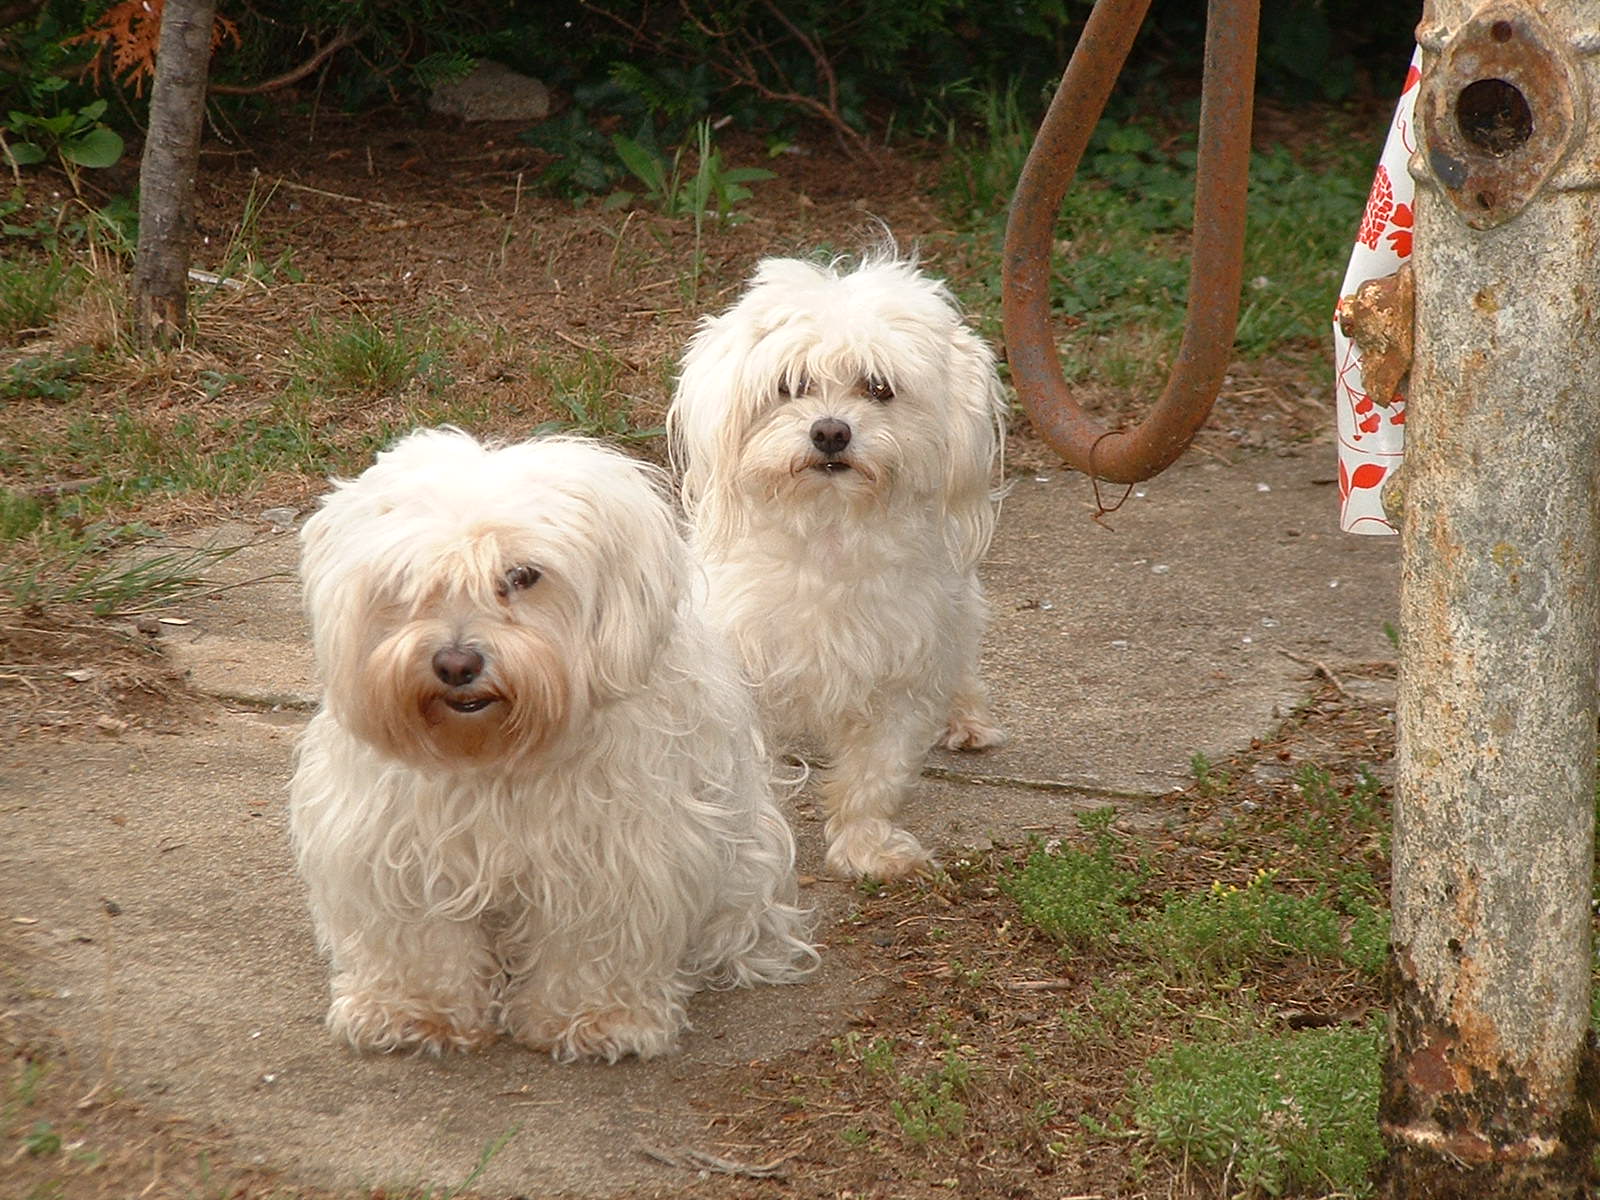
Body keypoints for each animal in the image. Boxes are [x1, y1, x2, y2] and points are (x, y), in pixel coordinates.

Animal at [284, 428, 812, 1062]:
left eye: (523, 576)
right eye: (411, 579)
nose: (456, 664)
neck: (496, 757)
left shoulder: (616, 853)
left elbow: (592, 941)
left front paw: (593, 1017)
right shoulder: (397, 843)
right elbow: (420, 935)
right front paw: (414, 1010)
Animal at [668, 254, 1004, 883]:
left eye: (879, 387)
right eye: (789, 386)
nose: (830, 431)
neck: (828, 534)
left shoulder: (904, 674)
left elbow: (877, 774)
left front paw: (867, 848)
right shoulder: (744, 678)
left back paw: (967, 718)